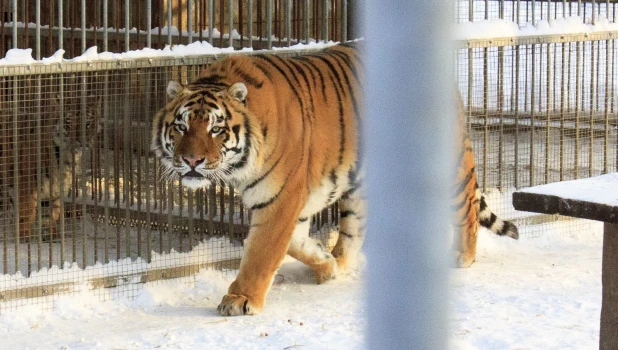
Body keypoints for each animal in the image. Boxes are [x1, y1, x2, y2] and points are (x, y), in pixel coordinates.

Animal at [0, 94, 101, 242]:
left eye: (88, 123)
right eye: (69, 122)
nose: (80, 142)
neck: (66, 157)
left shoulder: (53, 189)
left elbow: (50, 214)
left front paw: (53, 235)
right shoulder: (26, 185)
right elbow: (26, 212)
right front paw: (24, 237)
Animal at [150, 41, 516, 318]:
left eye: (216, 128)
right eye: (181, 126)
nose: (192, 160)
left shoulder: (280, 198)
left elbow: (261, 253)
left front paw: (240, 300)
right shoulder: (288, 200)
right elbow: (294, 242)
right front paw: (325, 264)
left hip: (448, 164)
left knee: (467, 208)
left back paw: (462, 256)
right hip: (360, 188)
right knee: (355, 229)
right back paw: (340, 262)